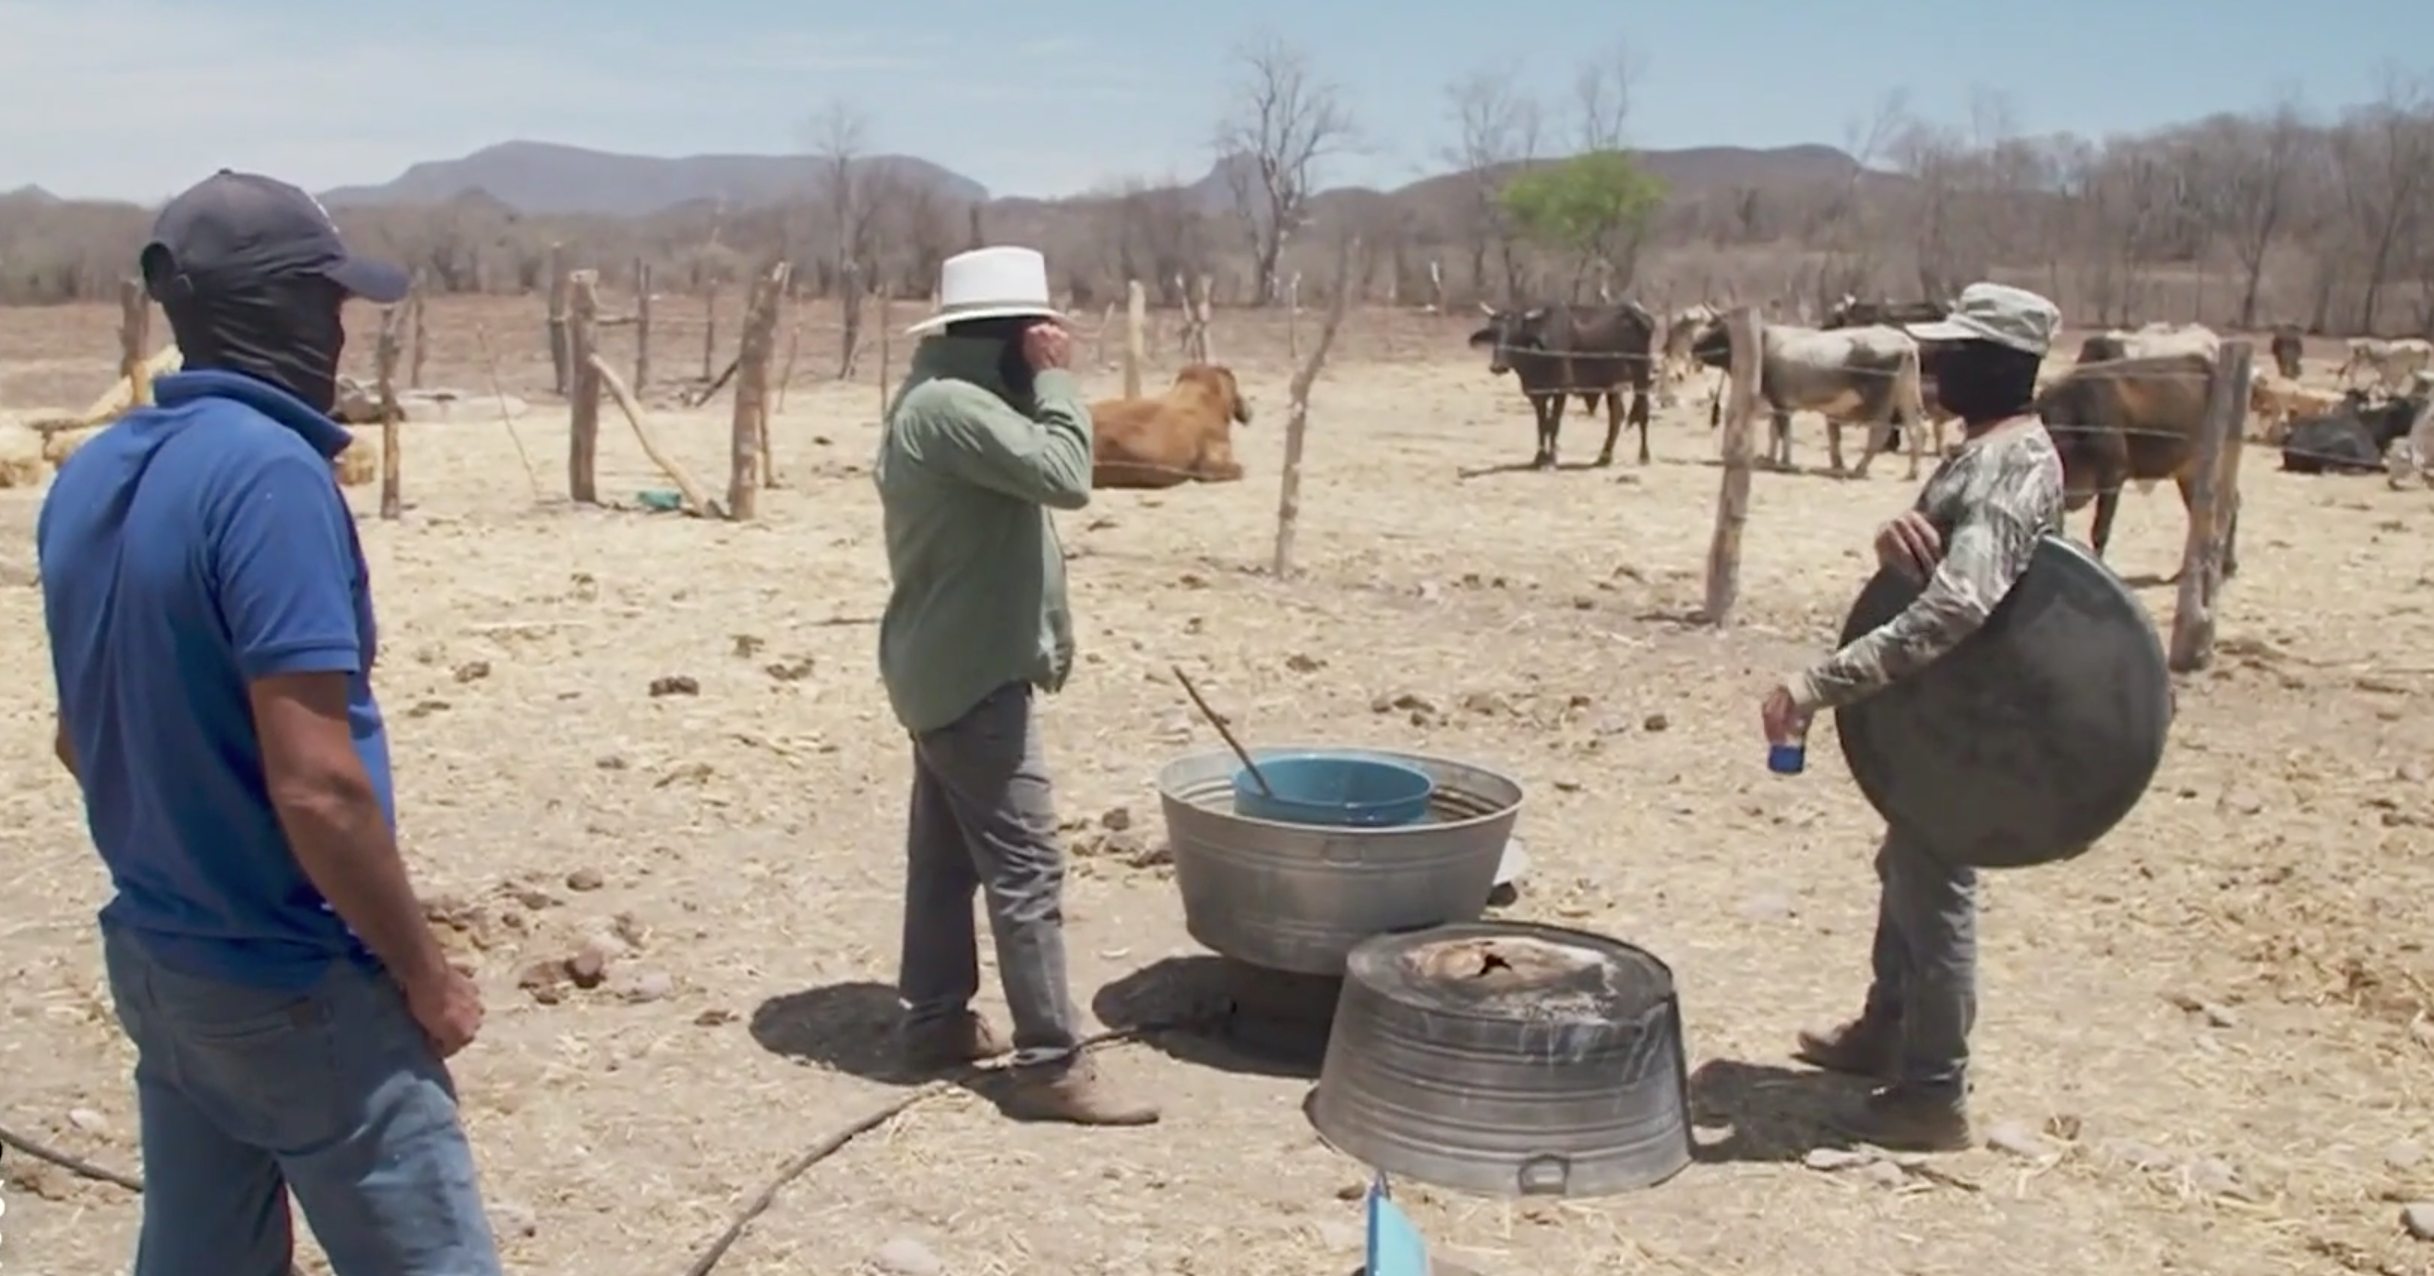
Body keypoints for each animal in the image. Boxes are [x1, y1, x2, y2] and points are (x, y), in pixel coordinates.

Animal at [1460, 300, 1655, 467]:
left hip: (1642, 375)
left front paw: (1551, 459)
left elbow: (1553, 423)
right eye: (1494, 334)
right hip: (1613, 383)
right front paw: (1539, 458)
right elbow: (1542, 424)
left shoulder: (1561, 389)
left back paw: (1644, 456)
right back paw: (1604, 457)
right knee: (1616, 416)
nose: (1498, 366)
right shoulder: (1536, 393)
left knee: (1643, 413)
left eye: (1516, 334)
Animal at [1694, 319, 1917, 477]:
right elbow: (1774, 432)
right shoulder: (1777, 404)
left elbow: (1783, 433)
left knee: (1880, 432)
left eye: (1720, 330)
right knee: (1916, 429)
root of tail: (1905, 342)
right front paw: (1769, 458)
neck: (1764, 342)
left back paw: (1860, 469)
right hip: (1907, 397)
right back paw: (1912, 472)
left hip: (1879, 401)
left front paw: (1785, 462)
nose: (1694, 345)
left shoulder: (1780, 402)